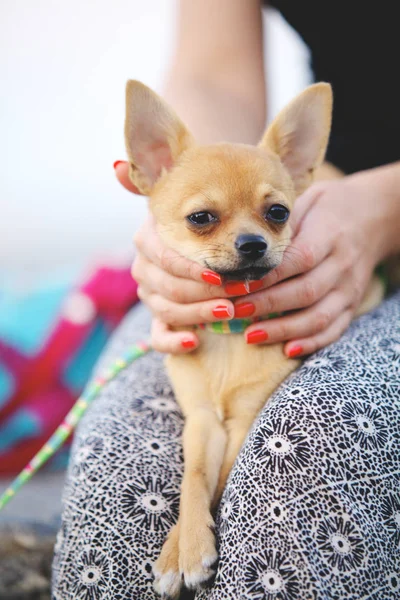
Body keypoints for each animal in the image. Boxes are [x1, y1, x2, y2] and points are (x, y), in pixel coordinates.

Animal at [125, 82, 384, 596]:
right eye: (200, 217)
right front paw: (181, 546)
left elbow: (223, 476)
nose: (252, 243)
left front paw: (186, 549)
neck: (231, 332)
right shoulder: (201, 419)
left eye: (278, 213)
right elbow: (194, 476)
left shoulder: (246, 417)